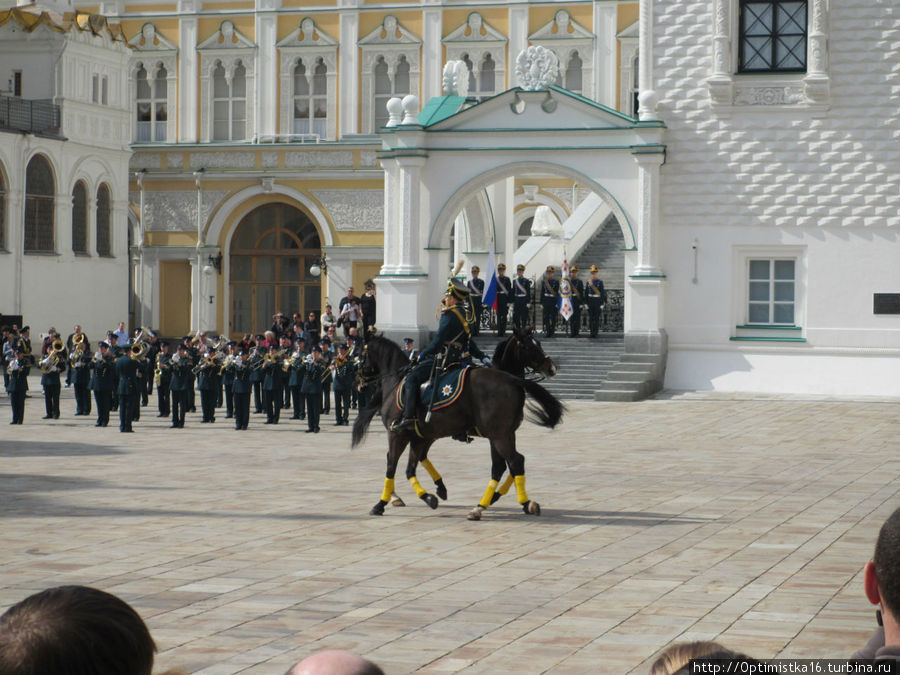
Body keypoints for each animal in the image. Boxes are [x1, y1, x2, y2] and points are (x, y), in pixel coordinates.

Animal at [352, 336, 564, 520]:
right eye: (529, 346)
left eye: (360, 354)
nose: (551, 367)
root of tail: (512, 380)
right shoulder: (419, 437)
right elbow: (409, 468)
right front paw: (429, 495)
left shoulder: (397, 434)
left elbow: (392, 466)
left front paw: (381, 503)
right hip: (497, 435)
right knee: (509, 464)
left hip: (498, 436)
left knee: (514, 462)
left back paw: (503, 504)